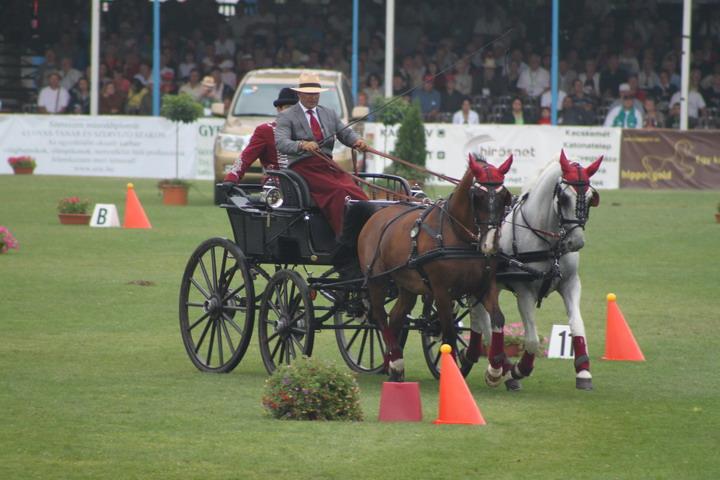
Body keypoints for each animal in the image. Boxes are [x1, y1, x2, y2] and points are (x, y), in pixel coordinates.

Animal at [357, 155, 513, 382]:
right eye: (478, 196)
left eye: (504, 196)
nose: (490, 243)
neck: (458, 234)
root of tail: (378, 215)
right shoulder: (441, 291)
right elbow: (448, 332)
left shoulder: (484, 286)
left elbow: (498, 319)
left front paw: (495, 369)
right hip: (377, 280)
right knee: (379, 315)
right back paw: (394, 361)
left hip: (408, 284)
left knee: (395, 316)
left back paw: (393, 364)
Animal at [465, 150, 603, 390]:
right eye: (564, 198)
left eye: (589, 197)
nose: (576, 242)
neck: (547, 242)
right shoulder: (524, 292)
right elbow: (531, 339)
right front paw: (520, 369)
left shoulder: (570, 283)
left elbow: (577, 324)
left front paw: (584, 371)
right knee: (483, 321)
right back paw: (497, 367)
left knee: (483, 320)